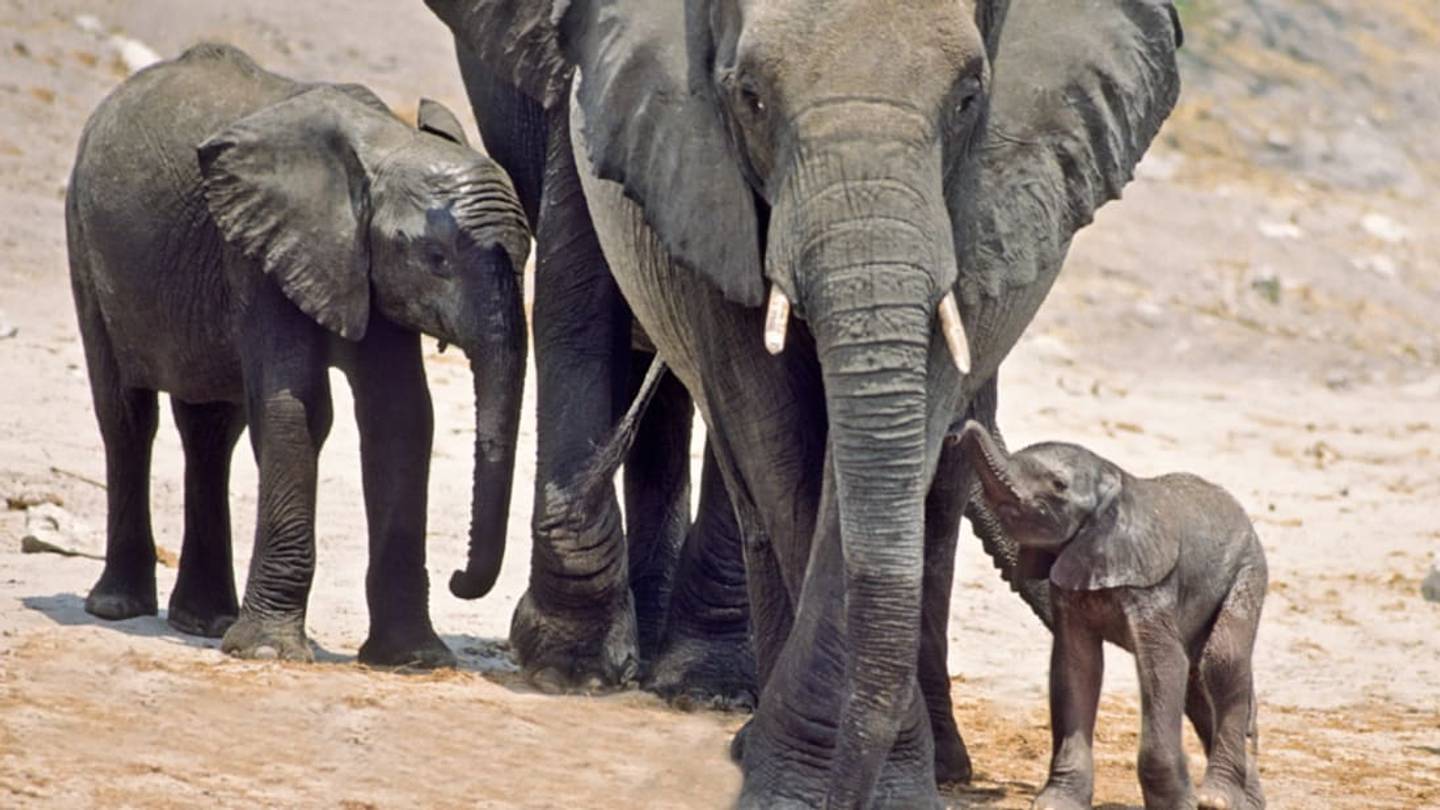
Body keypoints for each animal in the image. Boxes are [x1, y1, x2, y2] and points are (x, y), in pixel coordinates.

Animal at [66, 43, 531, 668]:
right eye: (435, 259)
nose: (461, 579)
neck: (383, 145)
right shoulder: (257, 248)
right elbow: (299, 406)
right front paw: (268, 653)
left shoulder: (364, 270)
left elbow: (401, 415)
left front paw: (414, 660)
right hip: (84, 240)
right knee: (127, 416)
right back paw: (119, 608)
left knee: (211, 429)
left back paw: (205, 620)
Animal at [959, 422, 1267, 810]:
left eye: (1058, 485)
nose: (962, 430)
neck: (1113, 483)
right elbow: (1077, 666)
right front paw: (1055, 803)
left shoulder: (1151, 585)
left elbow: (1164, 664)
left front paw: (1178, 806)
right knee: (1198, 681)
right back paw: (1246, 802)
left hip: (1248, 569)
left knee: (1221, 662)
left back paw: (1215, 799)